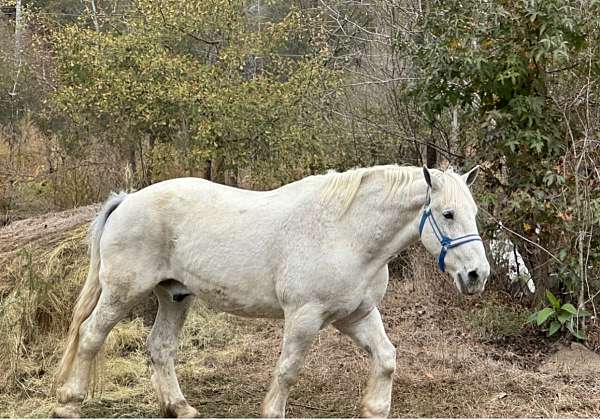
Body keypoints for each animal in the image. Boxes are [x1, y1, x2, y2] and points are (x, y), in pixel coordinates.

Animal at [54, 164, 490, 416]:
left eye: (473, 212)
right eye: (448, 214)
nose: (477, 275)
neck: (345, 234)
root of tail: (128, 200)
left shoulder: (356, 316)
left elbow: (385, 359)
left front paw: (374, 407)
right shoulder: (304, 317)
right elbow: (288, 371)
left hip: (174, 296)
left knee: (160, 348)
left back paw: (180, 407)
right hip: (122, 293)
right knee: (91, 336)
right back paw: (70, 403)